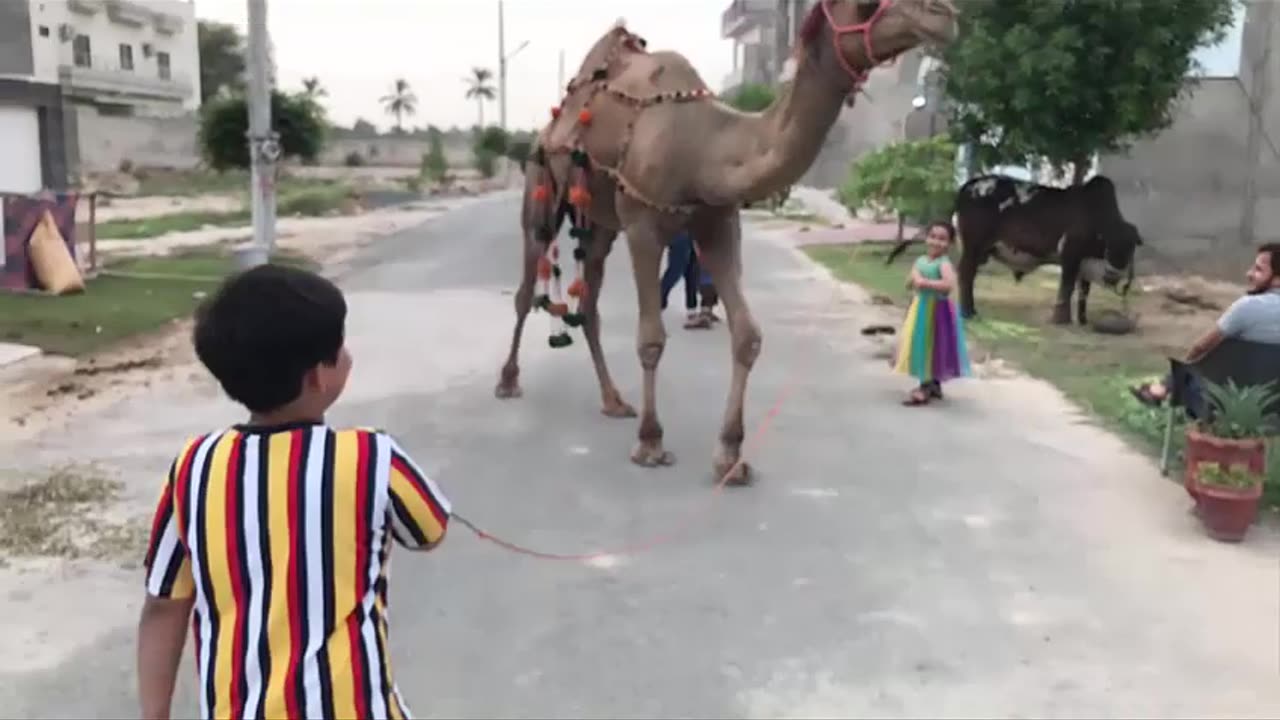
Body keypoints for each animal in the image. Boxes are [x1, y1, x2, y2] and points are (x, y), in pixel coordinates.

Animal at [494, 2, 957, 481]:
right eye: (865, 5)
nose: (943, 16)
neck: (706, 148)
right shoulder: (642, 227)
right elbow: (651, 339)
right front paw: (651, 442)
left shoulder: (717, 223)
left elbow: (748, 335)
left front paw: (731, 456)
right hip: (541, 186)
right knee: (527, 287)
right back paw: (508, 381)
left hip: (601, 221)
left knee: (589, 304)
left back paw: (614, 400)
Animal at [890, 172, 1141, 322]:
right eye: (1111, 244)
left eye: (1130, 247)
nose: (1114, 273)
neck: (1098, 218)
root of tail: (966, 187)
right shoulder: (1070, 255)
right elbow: (1067, 288)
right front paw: (1061, 319)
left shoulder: (1084, 263)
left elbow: (1083, 292)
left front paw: (1083, 319)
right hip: (973, 245)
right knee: (966, 275)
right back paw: (968, 312)